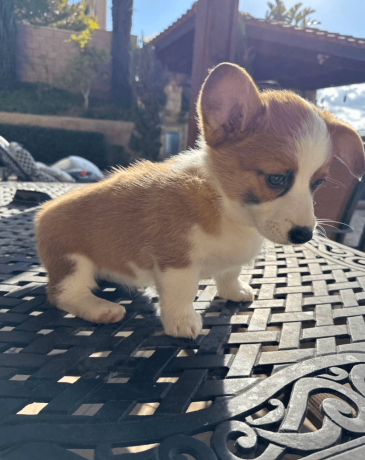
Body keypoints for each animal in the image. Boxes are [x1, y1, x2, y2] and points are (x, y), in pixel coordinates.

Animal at [34, 63, 364, 340]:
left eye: (318, 183)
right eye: (275, 179)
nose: (304, 235)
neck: (227, 208)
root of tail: (42, 213)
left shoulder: (230, 260)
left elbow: (230, 273)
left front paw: (234, 291)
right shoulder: (176, 261)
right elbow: (182, 293)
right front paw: (182, 323)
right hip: (73, 261)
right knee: (63, 292)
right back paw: (101, 308)